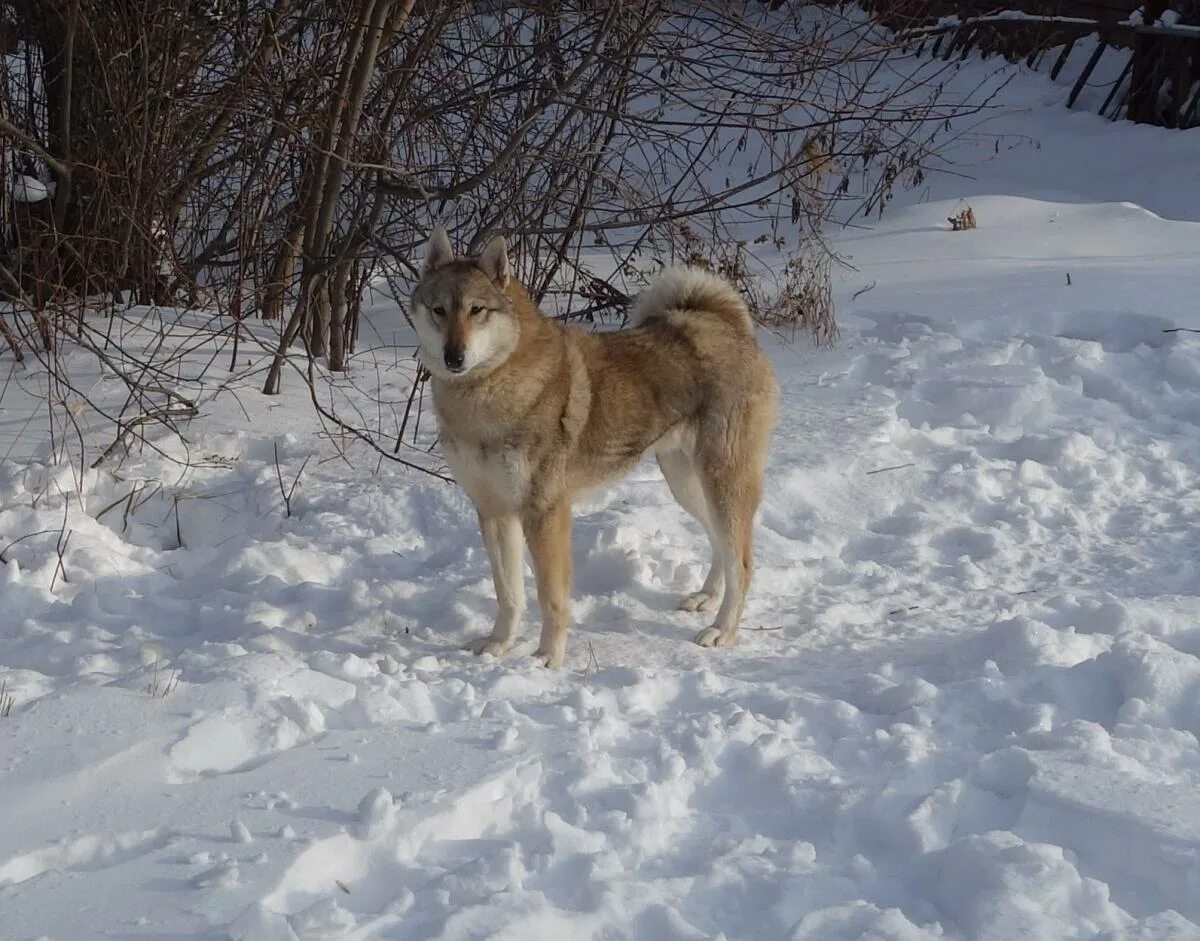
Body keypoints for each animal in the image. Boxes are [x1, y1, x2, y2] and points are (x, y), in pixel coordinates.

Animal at [410, 225, 777, 667]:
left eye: (477, 310)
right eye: (439, 310)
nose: (454, 356)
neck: (485, 392)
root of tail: (727, 326)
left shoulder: (545, 512)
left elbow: (550, 597)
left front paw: (546, 659)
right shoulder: (494, 511)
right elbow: (508, 594)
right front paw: (498, 645)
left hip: (721, 481)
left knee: (743, 561)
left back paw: (722, 630)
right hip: (686, 482)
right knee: (721, 544)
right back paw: (706, 597)